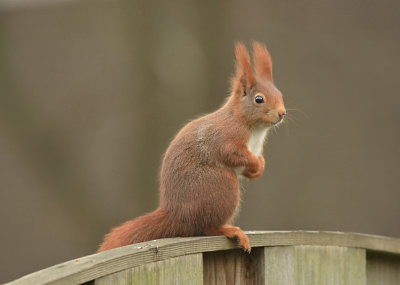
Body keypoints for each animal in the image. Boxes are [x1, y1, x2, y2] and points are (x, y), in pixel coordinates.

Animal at [98, 41, 286, 251]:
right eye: (259, 99)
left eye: (280, 94)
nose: (282, 113)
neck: (254, 129)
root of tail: (177, 215)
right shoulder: (224, 136)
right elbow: (229, 152)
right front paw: (255, 162)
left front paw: (259, 167)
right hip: (222, 186)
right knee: (208, 227)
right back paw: (231, 231)